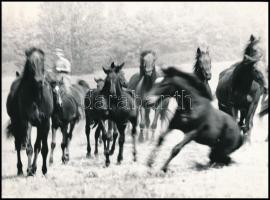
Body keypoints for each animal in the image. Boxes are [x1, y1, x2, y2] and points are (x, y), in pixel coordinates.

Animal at [5, 47, 53, 175]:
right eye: (30, 63)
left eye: (42, 61)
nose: (39, 81)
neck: (36, 97)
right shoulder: (27, 122)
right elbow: (29, 148)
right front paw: (30, 170)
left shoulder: (44, 123)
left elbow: (41, 148)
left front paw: (42, 169)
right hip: (16, 123)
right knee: (17, 145)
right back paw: (21, 169)